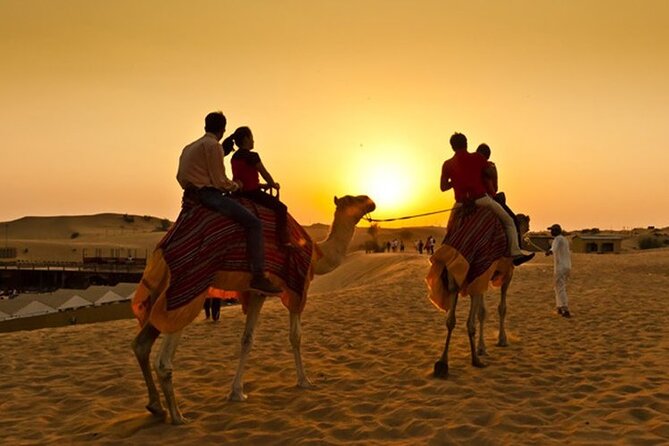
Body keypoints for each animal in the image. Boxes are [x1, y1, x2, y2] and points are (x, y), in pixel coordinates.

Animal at [130, 195, 376, 426]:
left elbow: (247, 339)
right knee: (164, 360)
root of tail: (161, 250)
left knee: (141, 344)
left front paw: (237, 391)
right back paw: (178, 416)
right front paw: (305, 381)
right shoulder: (295, 289)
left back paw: (156, 406)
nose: (371, 202)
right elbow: (295, 336)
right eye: (353, 199)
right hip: (187, 289)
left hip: (160, 292)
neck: (317, 254)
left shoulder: (257, 292)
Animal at [426, 205, 528, 376]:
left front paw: (482, 347)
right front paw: (502, 340)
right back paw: (474, 360)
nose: (527, 230)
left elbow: (482, 311)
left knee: (451, 320)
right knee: (469, 322)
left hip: (455, 279)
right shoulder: (506, 273)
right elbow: (501, 308)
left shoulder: (481, 279)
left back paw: (442, 362)